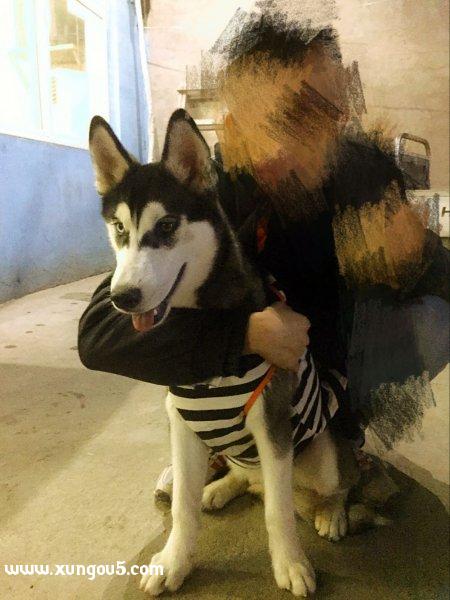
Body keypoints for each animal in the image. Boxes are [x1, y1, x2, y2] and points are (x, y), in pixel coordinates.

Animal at [88, 109, 362, 597]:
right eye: (119, 229)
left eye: (166, 226)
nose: (122, 297)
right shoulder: (182, 425)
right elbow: (182, 508)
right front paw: (173, 561)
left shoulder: (272, 423)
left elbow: (276, 510)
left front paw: (291, 564)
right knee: (248, 479)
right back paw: (220, 488)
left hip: (324, 455)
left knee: (333, 483)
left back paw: (331, 511)